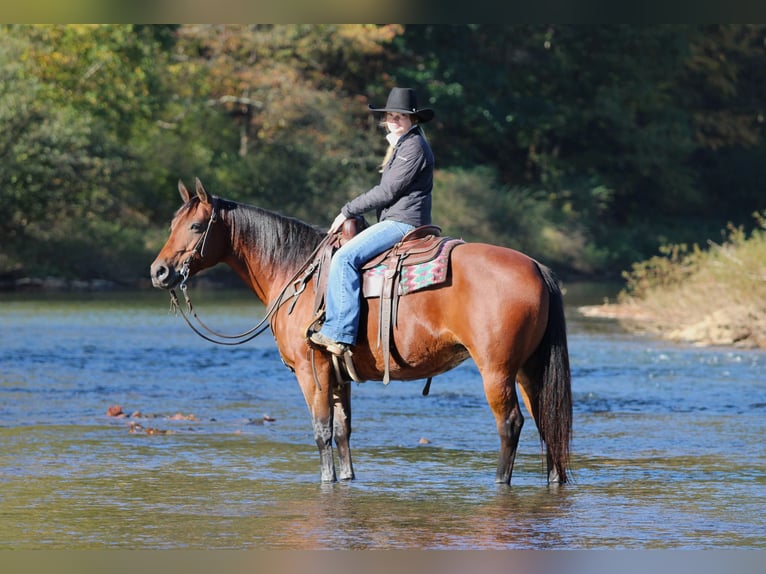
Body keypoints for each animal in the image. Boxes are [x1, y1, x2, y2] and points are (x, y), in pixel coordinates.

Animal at [150, 178, 572, 485]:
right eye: (172, 225)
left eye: (196, 226)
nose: (159, 271)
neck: (295, 274)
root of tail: (536, 266)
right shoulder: (340, 375)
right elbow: (342, 431)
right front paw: (348, 477)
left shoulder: (313, 371)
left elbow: (321, 431)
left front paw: (327, 481)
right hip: (528, 370)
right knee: (545, 420)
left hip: (496, 370)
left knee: (511, 424)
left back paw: (500, 482)